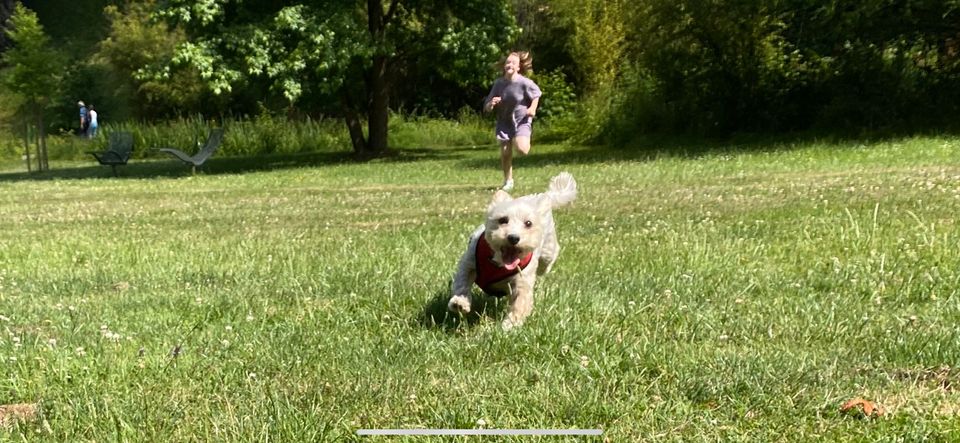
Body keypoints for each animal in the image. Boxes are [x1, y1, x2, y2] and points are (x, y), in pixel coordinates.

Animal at [448, 173, 576, 330]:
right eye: (503, 220)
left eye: (528, 223)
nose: (513, 237)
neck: (498, 263)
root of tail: (540, 197)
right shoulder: (469, 262)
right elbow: (462, 282)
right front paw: (460, 302)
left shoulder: (522, 280)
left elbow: (520, 303)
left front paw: (508, 326)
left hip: (548, 249)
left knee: (548, 260)